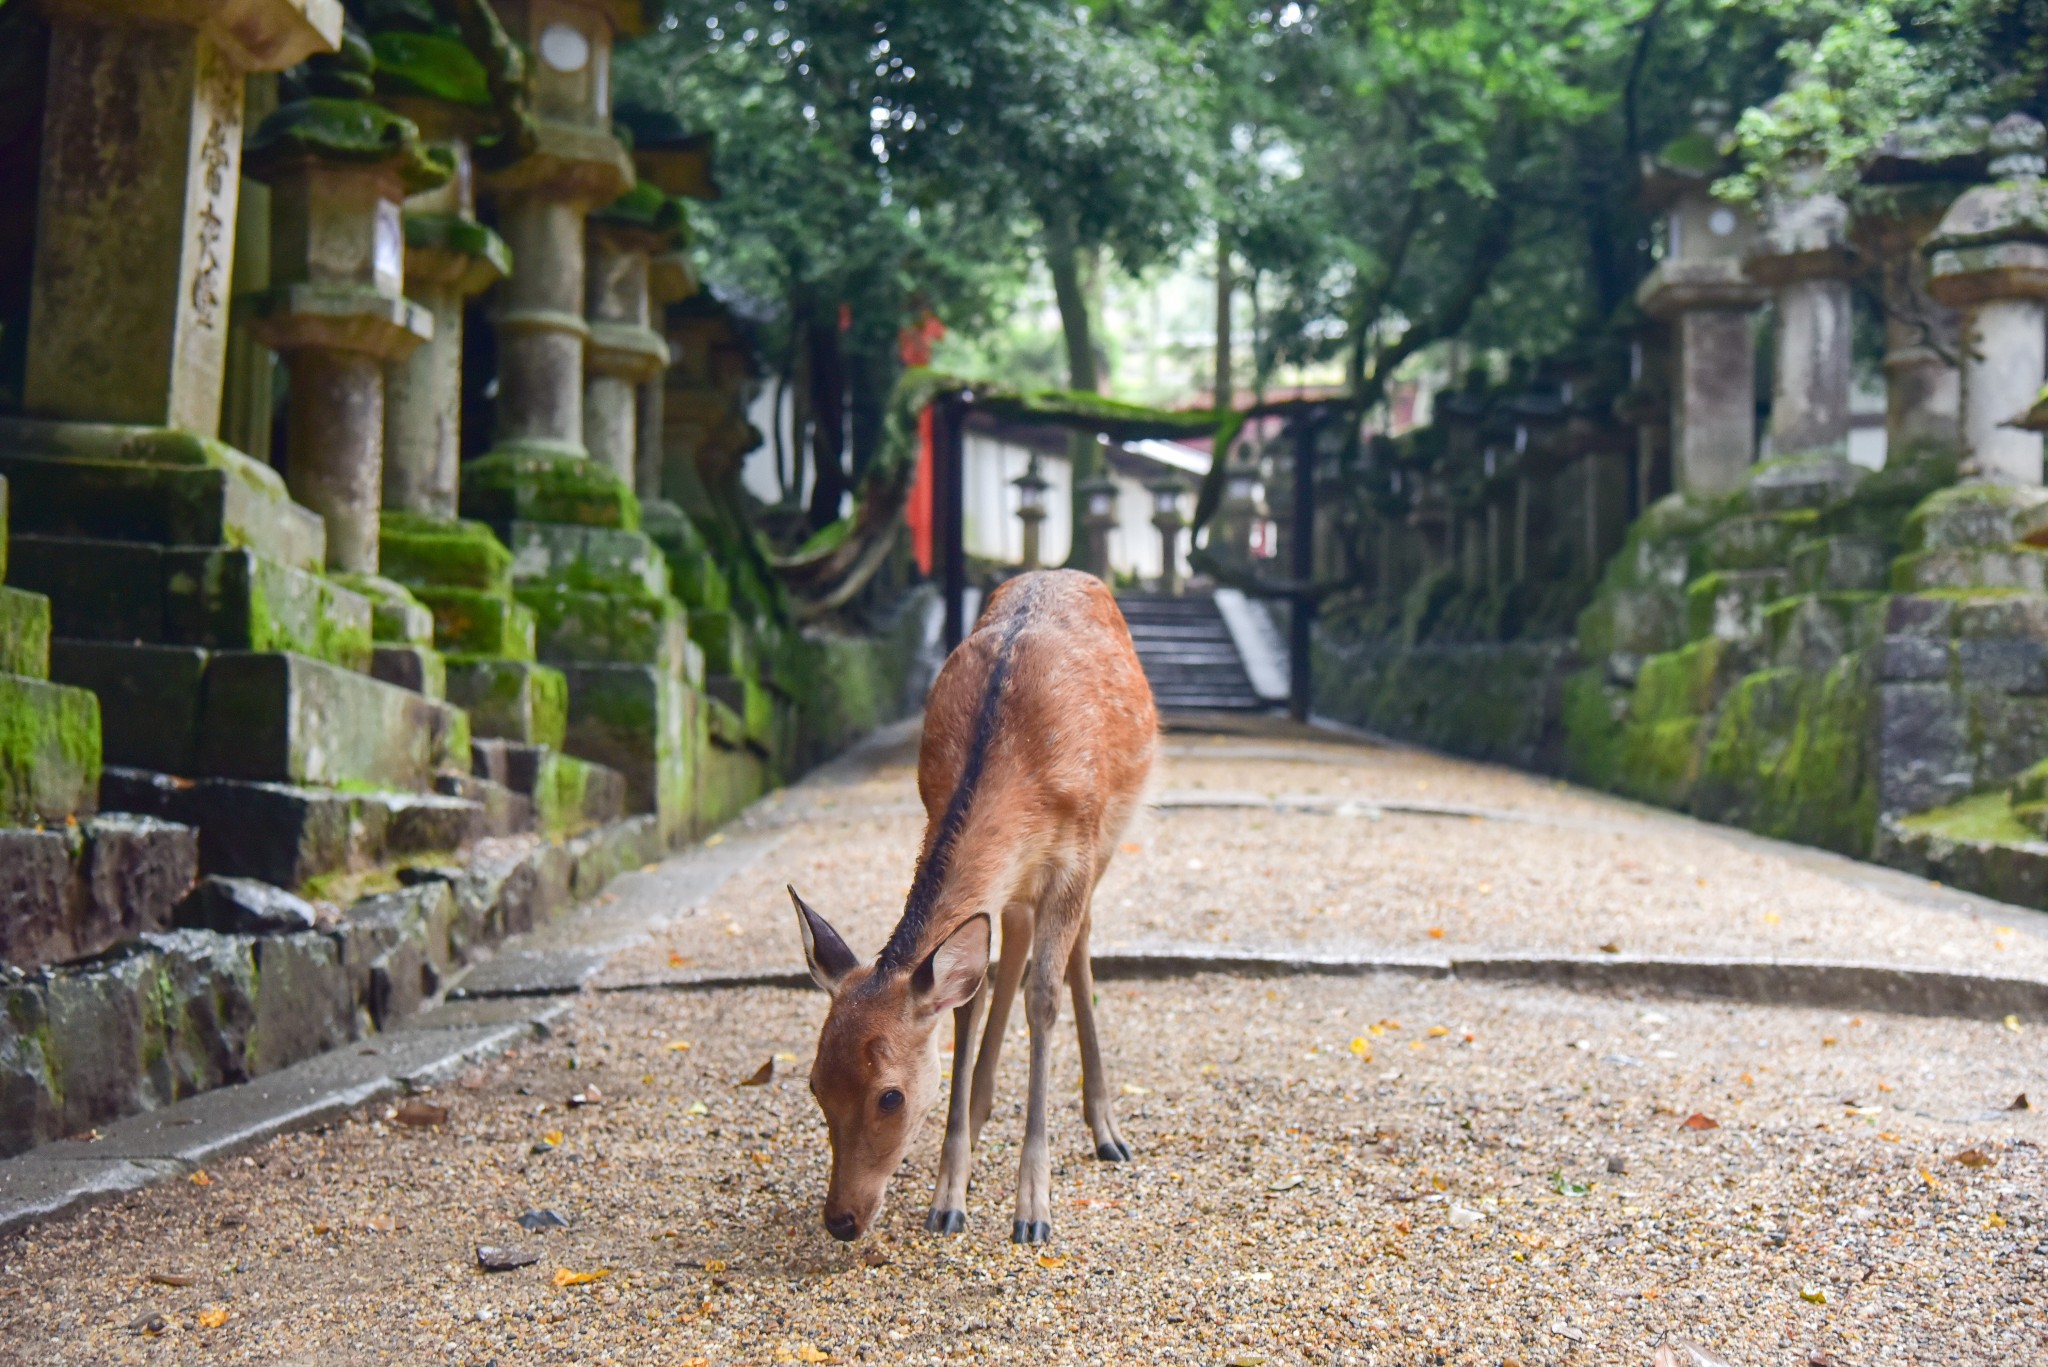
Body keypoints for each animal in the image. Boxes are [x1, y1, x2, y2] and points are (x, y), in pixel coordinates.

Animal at [790, 573, 1163, 1246]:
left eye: (890, 1096)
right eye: (814, 1083)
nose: (841, 1220)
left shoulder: (1075, 854)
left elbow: (1043, 999)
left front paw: (1033, 1210)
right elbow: (969, 1000)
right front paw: (948, 1198)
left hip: (1110, 837)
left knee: (1078, 947)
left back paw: (1107, 1132)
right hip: (1017, 889)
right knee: (1008, 946)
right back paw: (983, 1105)